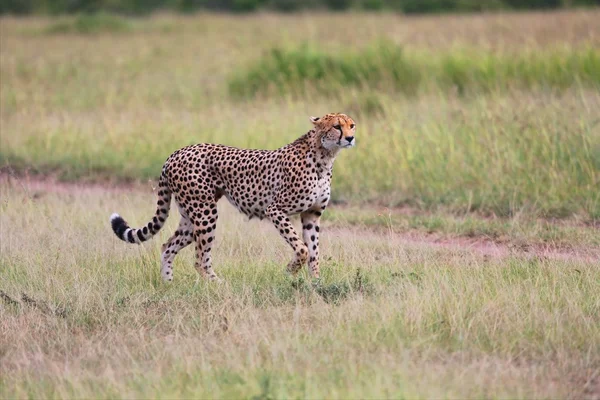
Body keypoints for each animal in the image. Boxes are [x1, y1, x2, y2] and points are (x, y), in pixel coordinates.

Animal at [110, 112, 356, 282]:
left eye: (351, 125)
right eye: (336, 126)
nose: (351, 138)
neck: (324, 156)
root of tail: (176, 152)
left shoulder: (312, 215)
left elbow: (314, 251)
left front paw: (316, 281)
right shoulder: (275, 209)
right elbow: (302, 248)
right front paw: (290, 271)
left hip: (191, 216)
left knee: (167, 246)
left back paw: (168, 284)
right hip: (205, 212)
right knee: (200, 259)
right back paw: (216, 284)